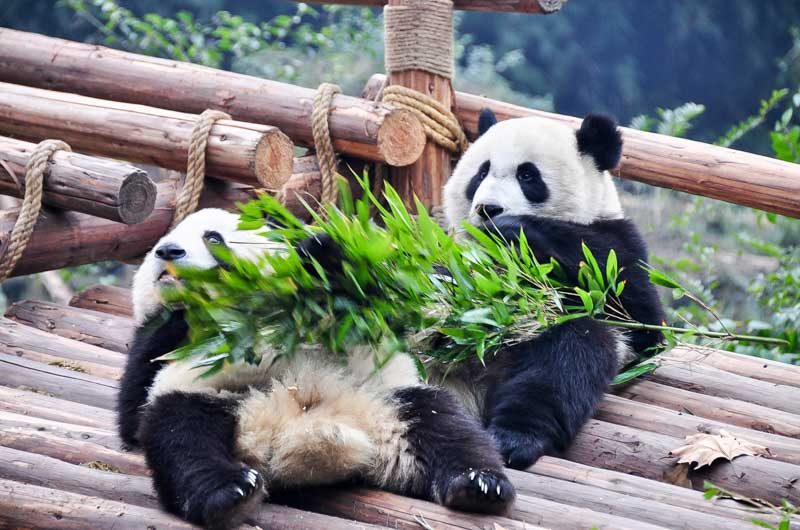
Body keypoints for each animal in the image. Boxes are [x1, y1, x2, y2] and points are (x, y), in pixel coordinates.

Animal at [118, 208, 515, 529]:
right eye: (162, 242)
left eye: (212, 237)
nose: (168, 251)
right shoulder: (171, 352)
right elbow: (134, 406)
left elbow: (370, 300)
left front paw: (321, 253)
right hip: (220, 401)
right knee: (182, 437)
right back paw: (230, 494)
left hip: (388, 401)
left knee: (446, 428)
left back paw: (479, 486)